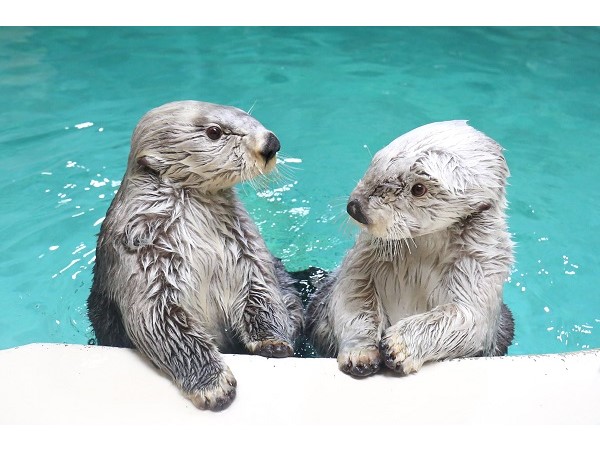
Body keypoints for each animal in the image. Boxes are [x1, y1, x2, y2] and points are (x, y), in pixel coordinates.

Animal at [88, 100, 304, 410]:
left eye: (250, 117)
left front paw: (273, 343)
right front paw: (213, 385)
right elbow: (162, 325)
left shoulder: (247, 249)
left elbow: (262, 291)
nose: (270, 143)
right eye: (214, 132)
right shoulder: (139, 258)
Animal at [308, 119, 512, 376]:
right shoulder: (363, 257)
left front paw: (398, 346)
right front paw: (360, 354)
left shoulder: (480, 268)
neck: (423, 252)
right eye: (375, 163)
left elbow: (466, 317)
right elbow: (352, 295)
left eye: (418, 189)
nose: (355, 207)